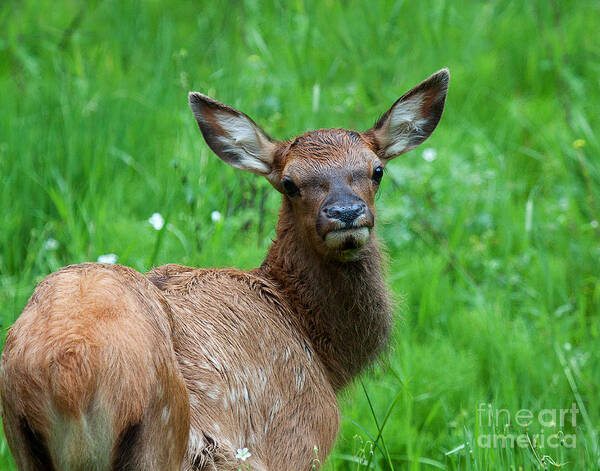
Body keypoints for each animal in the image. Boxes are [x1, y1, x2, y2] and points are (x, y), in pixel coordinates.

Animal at [2, 68, 448, 470]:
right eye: (290, 183)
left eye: (377, 170)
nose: (346, 213)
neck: (319, 351)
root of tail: (69, 376)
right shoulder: (296, 438)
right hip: (165, 436)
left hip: (23, 442)